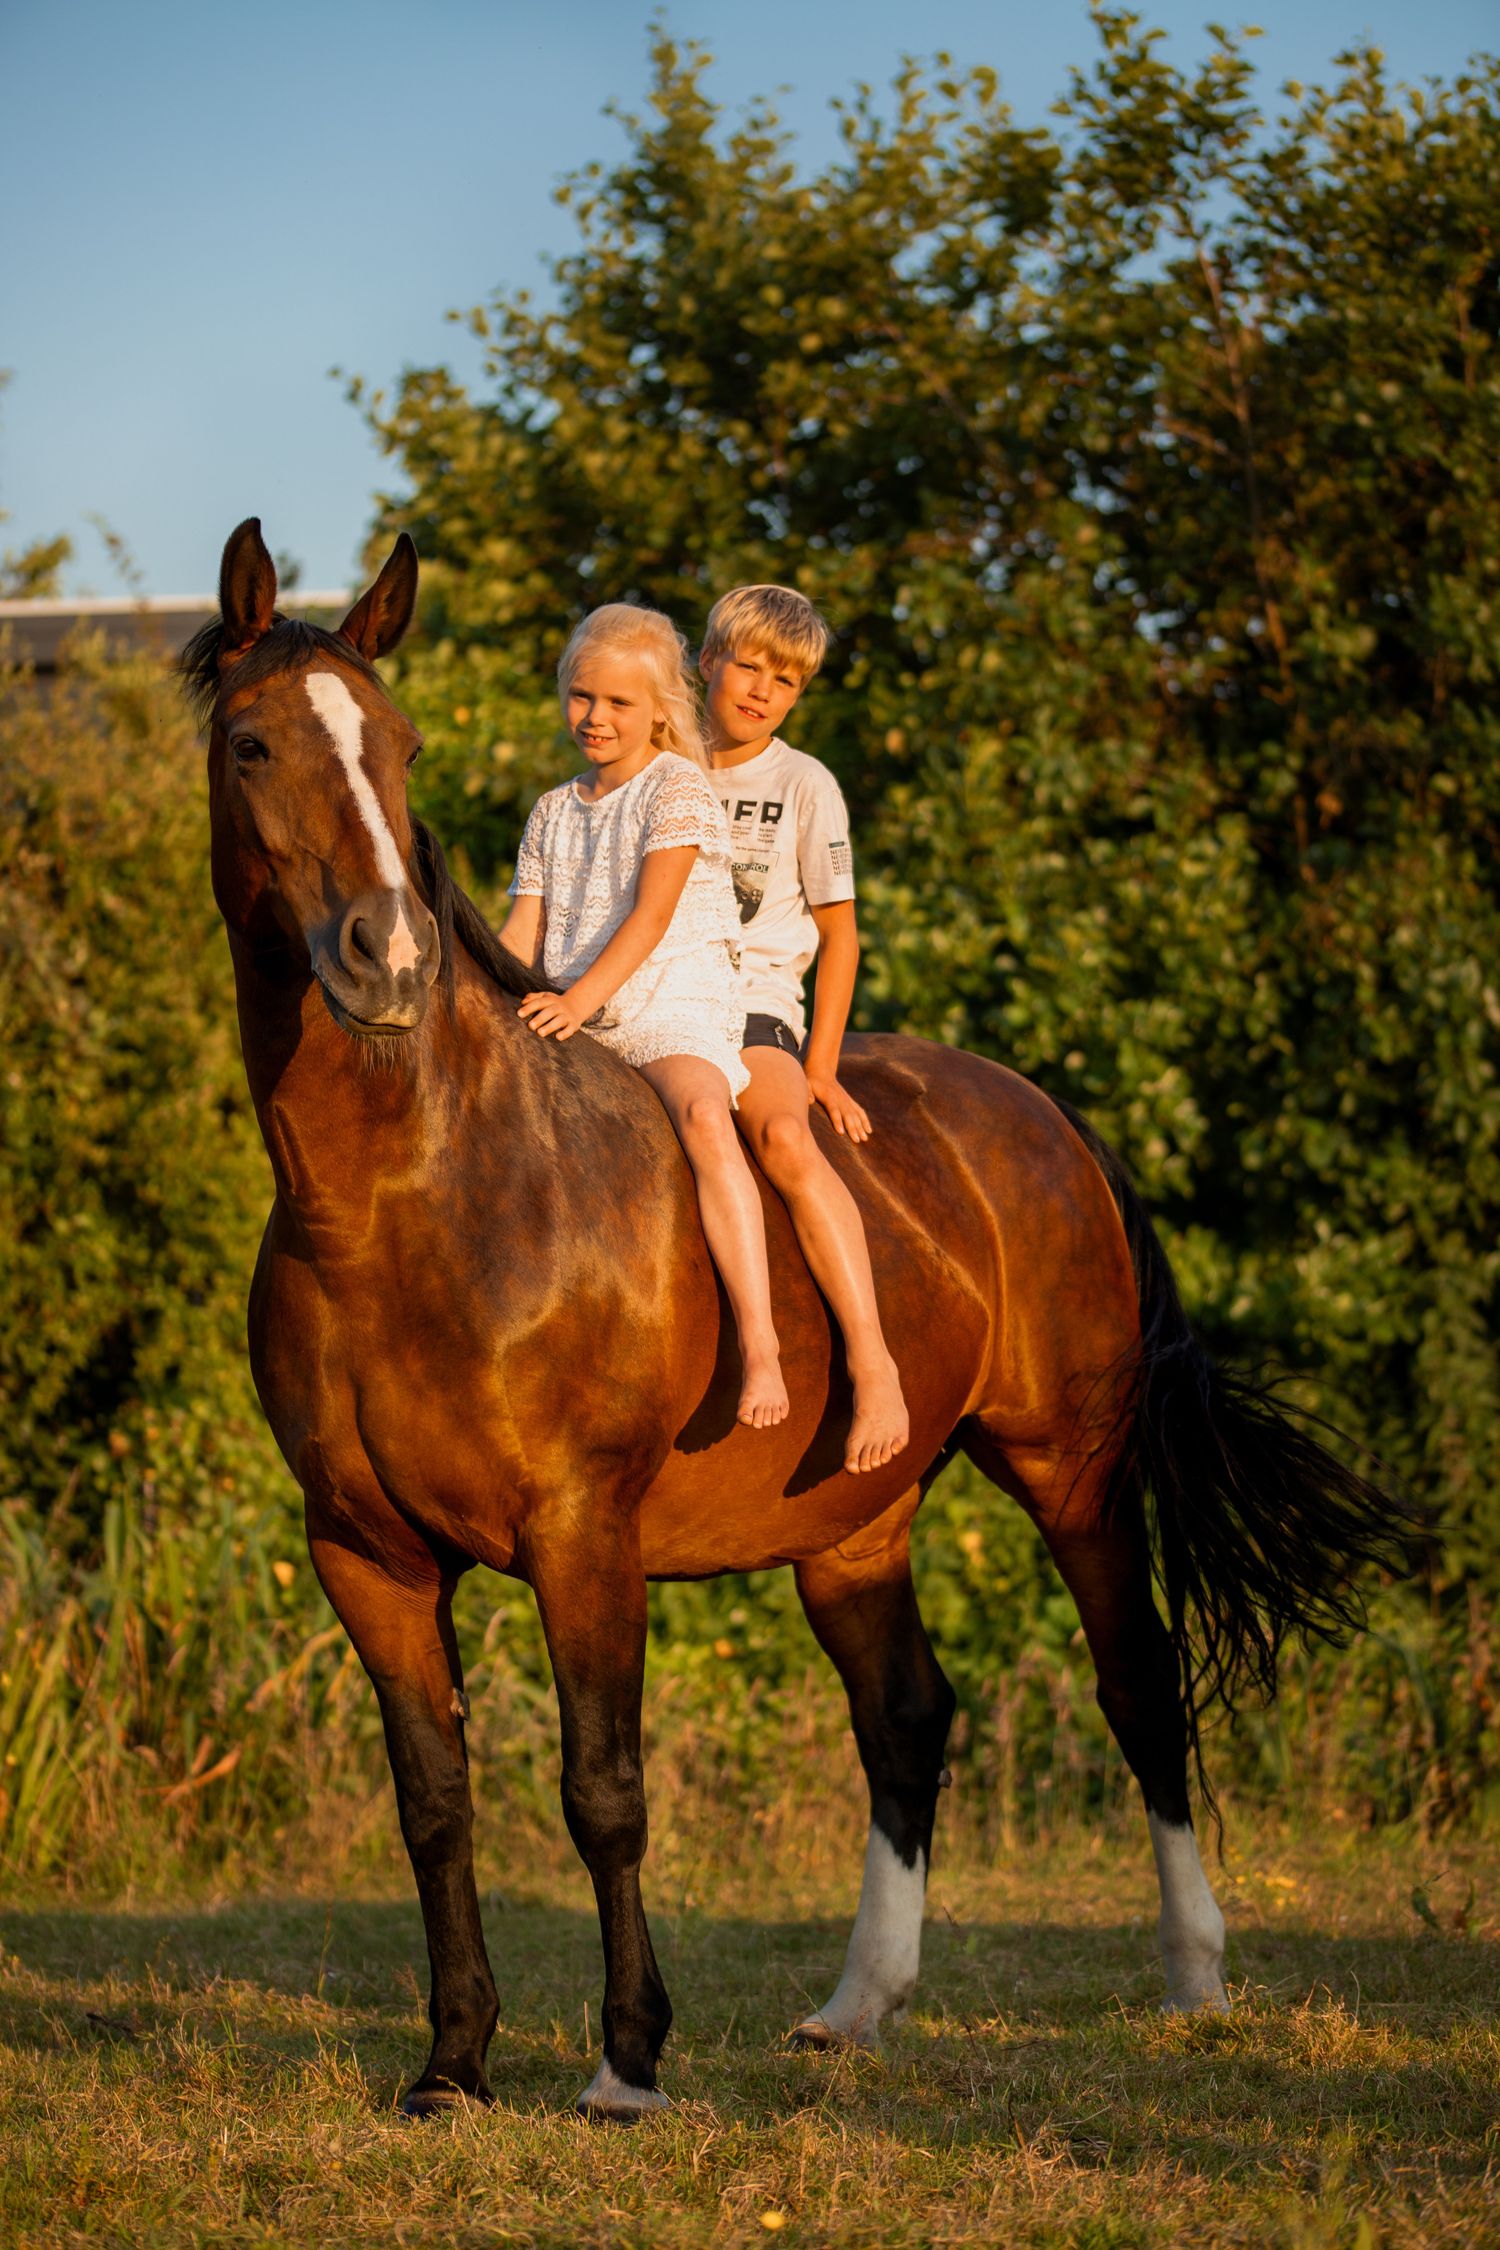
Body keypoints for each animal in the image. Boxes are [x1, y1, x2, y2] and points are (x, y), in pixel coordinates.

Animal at [184, 517, 1394, 2115]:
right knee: (908, 1719)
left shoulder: (583, 1537)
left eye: (397, 745)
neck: (422, 1198)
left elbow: (603, 1792)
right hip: (853, 1529)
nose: (386, 957)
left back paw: (1197, 1980)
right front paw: (452, 2064)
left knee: (1139, 1686)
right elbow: (436, 1805)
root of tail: (1049, 1119)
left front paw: (628, 2061)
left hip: (1072, 1470)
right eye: (252, 742)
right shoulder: (365, 1558)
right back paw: (857, 2007)